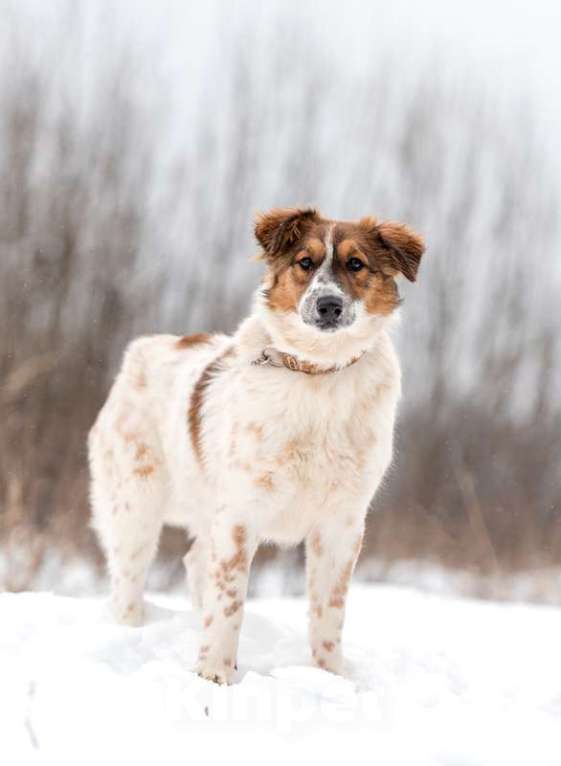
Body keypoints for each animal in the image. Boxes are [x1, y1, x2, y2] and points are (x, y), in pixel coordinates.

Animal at [87, 208, 422, 684]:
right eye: (305, 262)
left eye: (356, 264)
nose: (329, 305)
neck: (316, 374)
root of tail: (146, 347)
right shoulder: (240, 513)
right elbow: (229, 603)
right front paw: (214, 675)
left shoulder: (341, 524)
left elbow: (329, 613)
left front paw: (330, 678)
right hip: (136, 505)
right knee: (129, 579)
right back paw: (132, 629)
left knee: (194, 563)